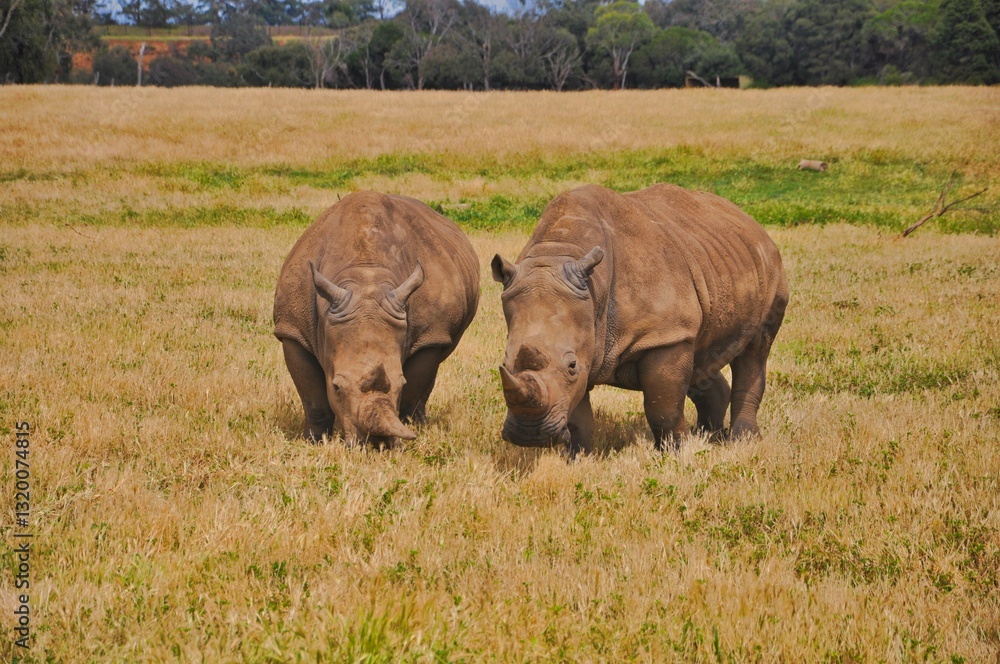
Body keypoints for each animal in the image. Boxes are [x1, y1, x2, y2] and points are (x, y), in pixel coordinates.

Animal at [273, 191, 479, 445]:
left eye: (401, 384)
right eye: (336, 387)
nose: (376, 442)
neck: (366, 274)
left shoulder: (431, 334)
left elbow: (414, 388)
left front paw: (408, 427)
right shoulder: (292, 330)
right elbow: (313, 398)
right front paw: (314, 441)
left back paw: (420, 422)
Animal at [491, 184, 788, 455]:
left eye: (571, 365)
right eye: (504, 362)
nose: (530, 436)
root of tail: (750, 221)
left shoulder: (664, 336)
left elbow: (663, 406)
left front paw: (676, 454)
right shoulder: (590, 339)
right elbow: (578, 416)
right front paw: (578, 459)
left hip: (771, 268)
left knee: (755, 351)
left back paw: (741, 441)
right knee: (702, 353)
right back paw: (708, 436)